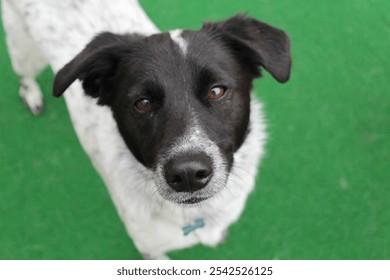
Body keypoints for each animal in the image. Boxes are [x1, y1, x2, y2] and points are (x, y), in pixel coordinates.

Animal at [2, 0, 290, 260]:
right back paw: (31, 95)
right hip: (23, 50)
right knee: (24, 75)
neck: (194, 215)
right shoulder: (148, 246)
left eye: (216, 91)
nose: (188, 175)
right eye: (142, 103)